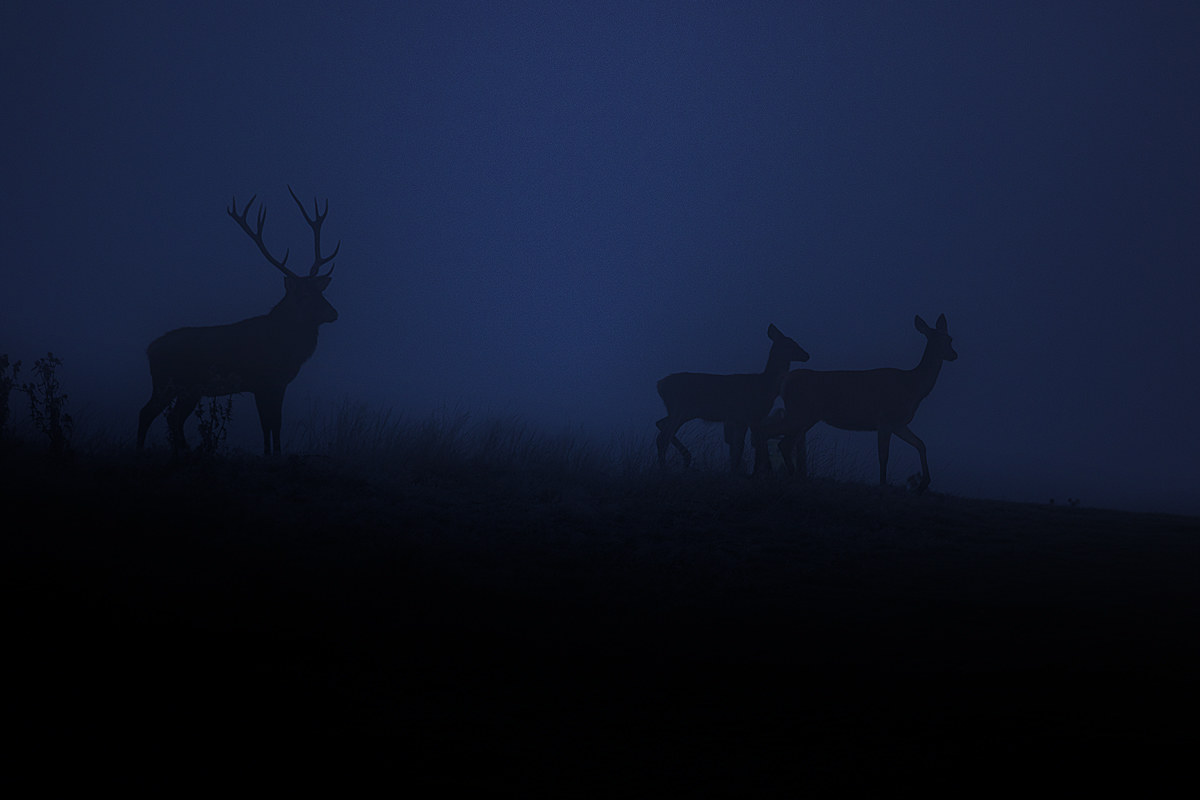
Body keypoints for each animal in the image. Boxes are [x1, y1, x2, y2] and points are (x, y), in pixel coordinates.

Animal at [136, 187, 340, 455]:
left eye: (320, 292)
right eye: (305, 295)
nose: (334, 313)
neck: (286, 349)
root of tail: (150, 350)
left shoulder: (276, 384)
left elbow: (273, 424)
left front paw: (272, 453)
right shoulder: (264, 381)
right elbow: (270, 423)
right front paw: (271, 455)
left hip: (186, 389)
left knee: (171, 417)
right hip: (170, 383)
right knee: (148, 413)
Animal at [656, 323, 810, 474]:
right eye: (790, 343)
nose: (807, 355)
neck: (766, 386)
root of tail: (660, 385)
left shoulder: (740, 419)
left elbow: (739, 447)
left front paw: (737, 471)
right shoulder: (752, 415)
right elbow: (756, 444)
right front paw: (763, 471)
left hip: (682, 412)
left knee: (661, 425)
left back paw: (683, 458)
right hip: (679, 409)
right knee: (663, 437)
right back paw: (664, 467)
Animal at [752, 314, 957, 493]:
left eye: (949, 338)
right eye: (936, 339)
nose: (954, 354)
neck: (913, 387)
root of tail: (785, 382)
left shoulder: (898, 424)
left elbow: (920, 444)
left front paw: (924, 483)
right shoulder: (885, 419)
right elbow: (884, 455)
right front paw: (883, 484)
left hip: (804, 416)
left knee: (780, 440)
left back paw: (788, 475)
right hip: (800, 413)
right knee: (774, 437)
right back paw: (783, 475)